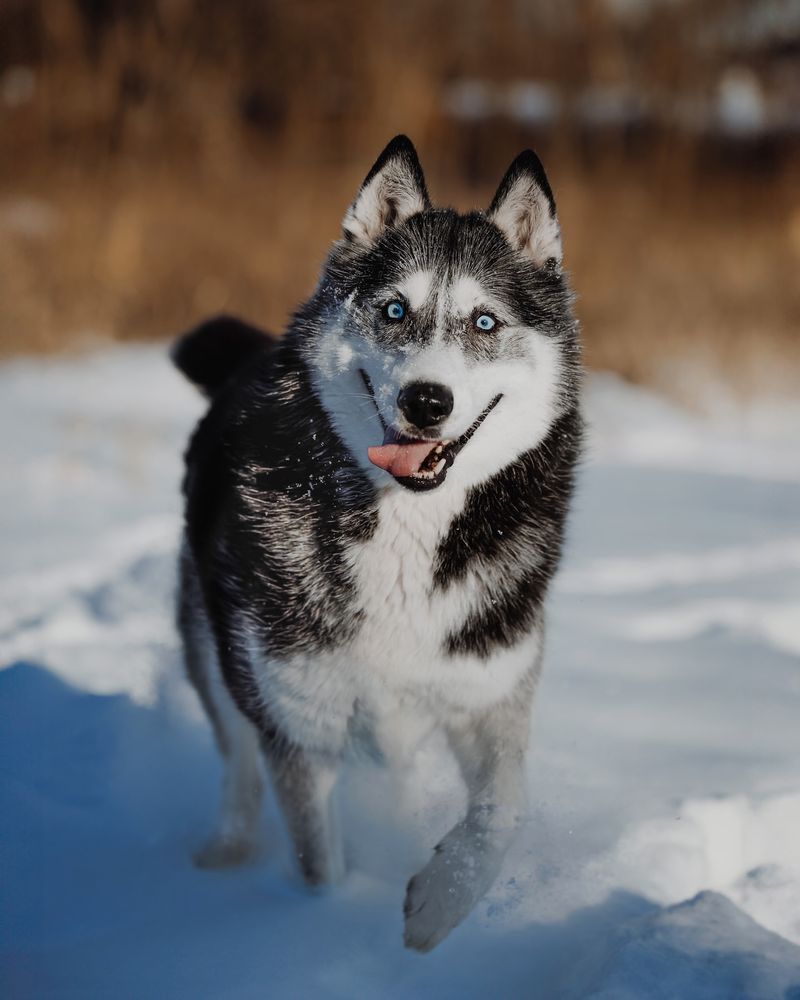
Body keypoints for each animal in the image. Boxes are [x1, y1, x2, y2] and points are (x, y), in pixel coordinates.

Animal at [173, 137, 580, 948]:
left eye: (484, 323)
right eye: (395, 309)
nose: (426, 400)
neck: (404, 532)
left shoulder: (489, 691)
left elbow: (503, 811)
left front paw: (436, 908)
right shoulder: (300, 722)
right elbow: (317, 867)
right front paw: (327, 930)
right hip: (215, 645)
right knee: (236, 758)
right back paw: (226, 853)